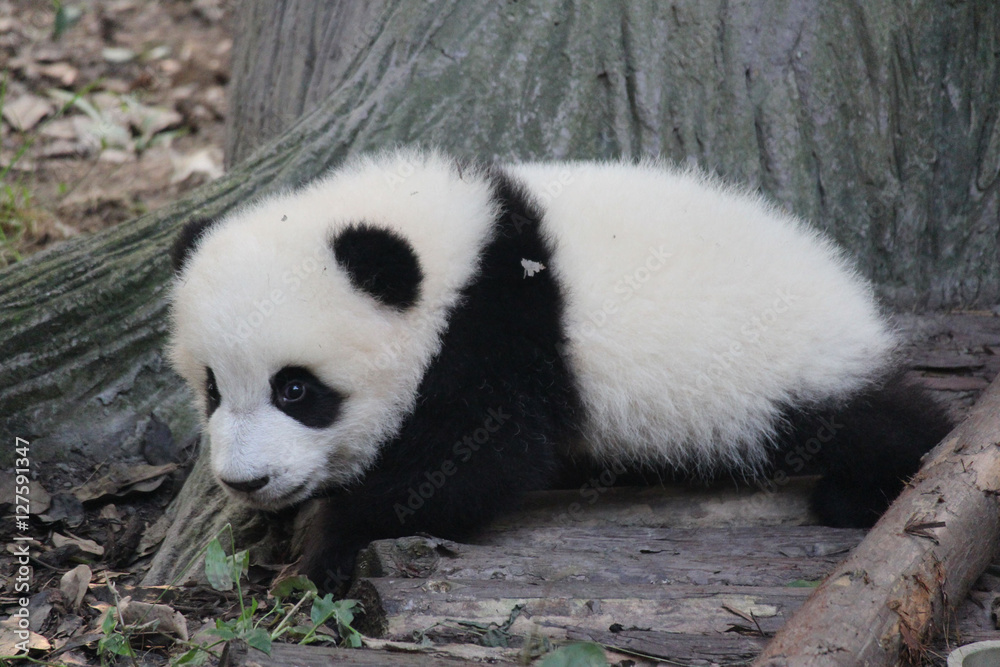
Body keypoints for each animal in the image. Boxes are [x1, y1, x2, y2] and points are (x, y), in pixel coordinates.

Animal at [169, 148, 952, 591]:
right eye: (212, 388)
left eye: (297, 389)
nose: (245, 481)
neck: (451, 243)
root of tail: (848, 288)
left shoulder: (497, 333)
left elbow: (474, 462)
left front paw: (326, 551)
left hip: (776, 367)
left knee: (866, 420)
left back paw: (869, 484)